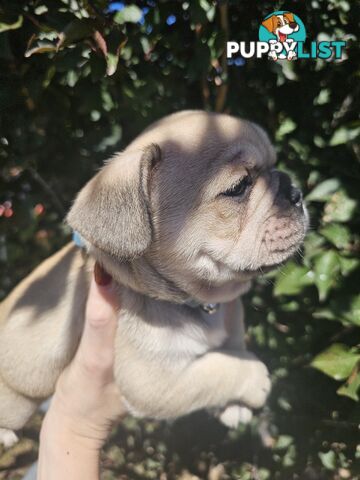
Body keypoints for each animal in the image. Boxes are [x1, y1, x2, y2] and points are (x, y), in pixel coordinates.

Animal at [0, 110, 306, 444]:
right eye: (239, 187)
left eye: (275, 164)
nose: (295, 191)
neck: (200, 299)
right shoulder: (156, 380)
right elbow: (218, 370)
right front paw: (254, 379)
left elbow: (231, 347)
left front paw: (234, 407)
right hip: (16, 399)